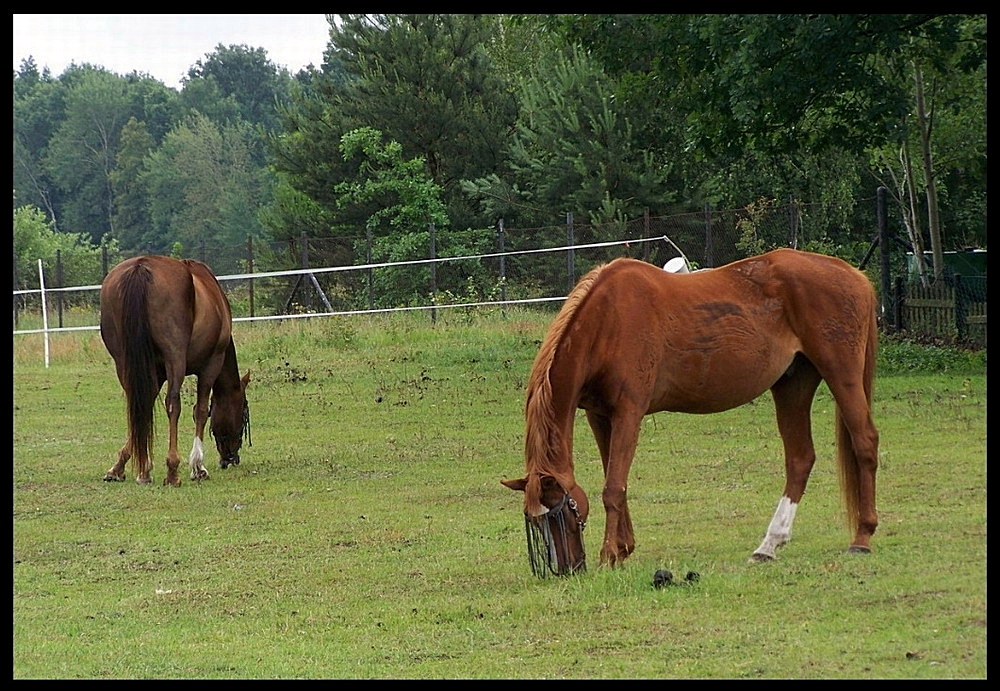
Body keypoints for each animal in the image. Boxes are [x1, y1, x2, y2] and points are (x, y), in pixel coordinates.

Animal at [98, 254, 250, 486]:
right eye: (243, 414)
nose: (231, 458)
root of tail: (141, 267)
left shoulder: (155, 373)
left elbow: (145, 408)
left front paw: (130, 467)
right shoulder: (210, 366)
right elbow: (201, 411)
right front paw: (197, 466)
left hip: (123, 361)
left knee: (136, 404)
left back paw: (139, 470)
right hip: (175, 358)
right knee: (173, 404)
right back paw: (172, 470)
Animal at [504, 249, 880, 580]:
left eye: (558, 513)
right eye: (534, 521)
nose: (566, 569)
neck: (608, 320)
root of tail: (855, 276)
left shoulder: (628, 413)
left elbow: (613, 487)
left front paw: (610, 554)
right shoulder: (600, 416)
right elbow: (618, 484)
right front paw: (624, 548)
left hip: (842, 374)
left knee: (865, 442)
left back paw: (862, 537)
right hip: (793, 385)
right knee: (800, 459)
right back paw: (768, 546)